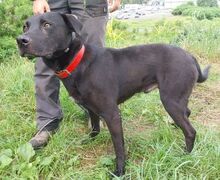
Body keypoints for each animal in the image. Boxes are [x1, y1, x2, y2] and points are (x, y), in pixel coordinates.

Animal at [16, 12, 210, 176]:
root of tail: (190, 56)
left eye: (47, 25)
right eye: (25, 26)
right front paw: (90, 140)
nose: (20, 40)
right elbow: (94, 127)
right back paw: (177, 128)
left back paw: (184, 156)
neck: (78, 63)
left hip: (170, 100)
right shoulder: (91, 108)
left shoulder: (112, 114)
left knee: (191, 131)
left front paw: (120, 171)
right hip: (177, 99)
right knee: (187, 113)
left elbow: (119, 147)